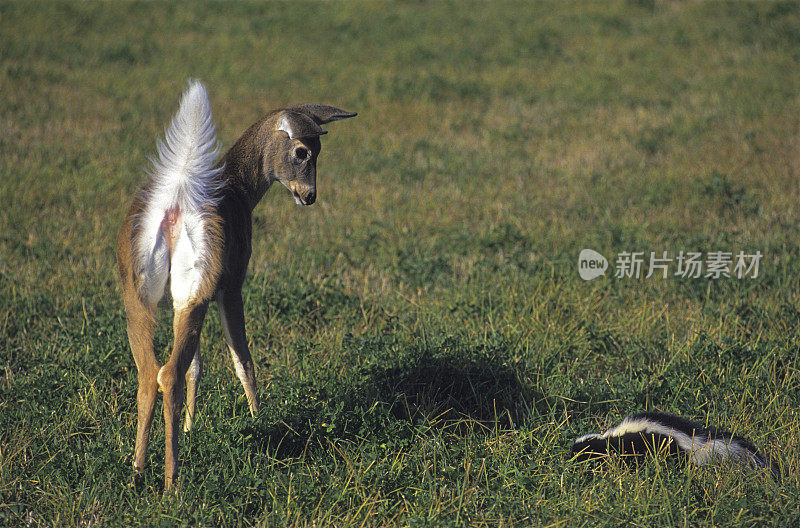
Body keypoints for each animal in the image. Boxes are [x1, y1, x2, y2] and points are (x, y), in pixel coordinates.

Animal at [115, 79, 356, 490]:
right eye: (303, 151)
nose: (309, 196)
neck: (241, 188)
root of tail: (174, 206)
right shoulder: (232, 284)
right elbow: (242, 359)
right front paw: (261, 420)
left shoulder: (187, 298)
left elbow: (198, 366)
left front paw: (192, 429)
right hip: (198, 286)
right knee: (169, 372)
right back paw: (170, 482)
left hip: (143, 297)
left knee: (151, 373)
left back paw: (137, 471)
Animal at [572, 410, 772, 472]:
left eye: (580, 453)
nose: (570, 460)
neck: (608, 438)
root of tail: (694, 440)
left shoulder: (627, 446)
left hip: (669, 450)